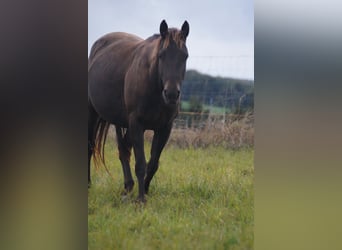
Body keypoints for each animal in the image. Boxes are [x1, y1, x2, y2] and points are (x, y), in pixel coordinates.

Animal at [88, 20, 190, 203]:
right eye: (161, 55)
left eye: (184, 56)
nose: (171, 94)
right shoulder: (137, 124)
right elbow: (141, 163)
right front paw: (141, 199)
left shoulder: (165, 128)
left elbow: (153, 163)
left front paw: (146, 191)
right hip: (93, 113)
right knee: (90, 146)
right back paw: (89, 184)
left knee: (123, 151)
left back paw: (127, 187)